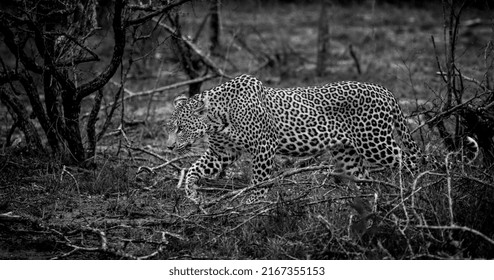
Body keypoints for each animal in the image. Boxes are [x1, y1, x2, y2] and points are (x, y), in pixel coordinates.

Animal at [166, 75, 478, 203]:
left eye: (180, 128)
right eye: (170, 127)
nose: (168, 146)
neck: (217, 120)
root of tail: (386, 90)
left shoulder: (263, 149)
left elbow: (259, 181)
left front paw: (254, 205)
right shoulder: (221, 154)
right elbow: (193, 169)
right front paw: (192, 194)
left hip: (374, 142)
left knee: (411, 159)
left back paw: (417, 191)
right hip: (348, 152)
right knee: (364, 177)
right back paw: (361, 205)